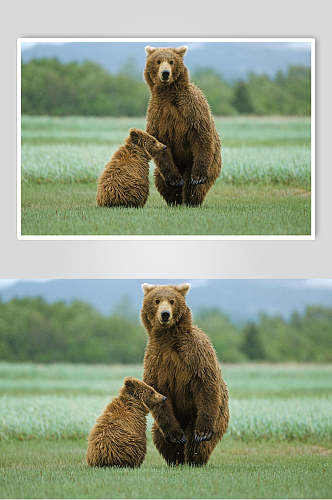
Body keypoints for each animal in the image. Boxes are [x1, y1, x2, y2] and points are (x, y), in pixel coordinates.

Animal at [139, 286, 228, 464]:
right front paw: (176, 437)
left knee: (197, 440)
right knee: (159, 436)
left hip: (212, 414)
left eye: (172, 301)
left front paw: (203, 433)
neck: (168, 339)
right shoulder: (156, 361)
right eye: (157, 300)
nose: (165, 314)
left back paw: (194, 458)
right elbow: (158, 392)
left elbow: (205, 383)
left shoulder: (196, 354)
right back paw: (176, 457)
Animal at [144, 45, 222, 205]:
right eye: (158, 61)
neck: (168, 94)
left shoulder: (191, 108)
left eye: (171, 61)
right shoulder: (158, 114)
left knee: (194, 186)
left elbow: (201, 134)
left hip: (210, 163)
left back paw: (191, 199)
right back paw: (175, 199)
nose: (165, 73)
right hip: (167, 168)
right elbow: (159, 142)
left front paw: (198, 177)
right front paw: (175, 181)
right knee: (160, 181)